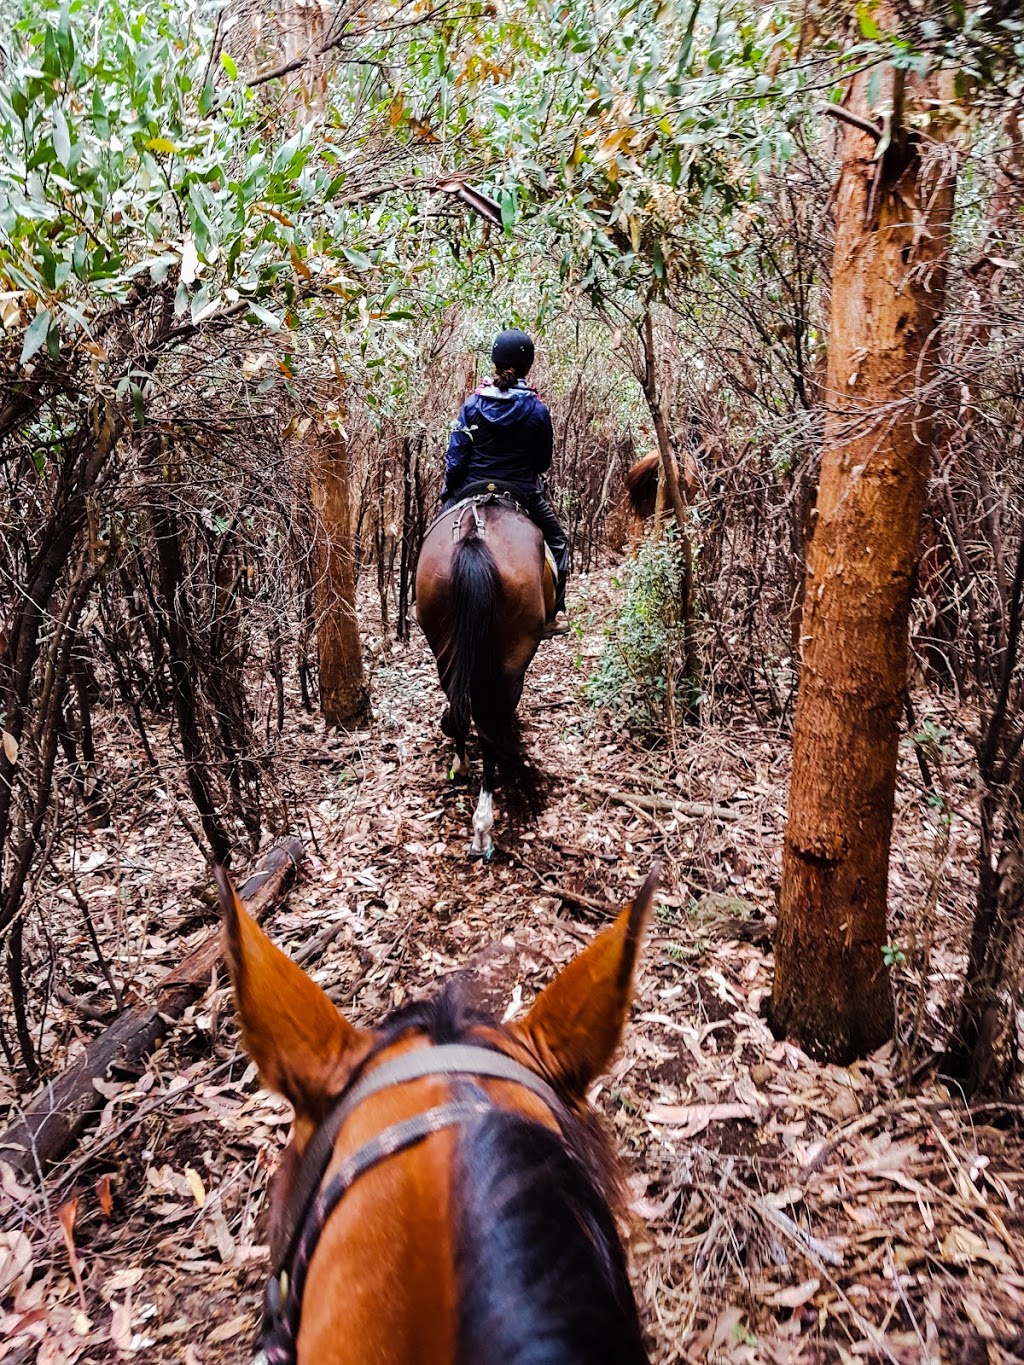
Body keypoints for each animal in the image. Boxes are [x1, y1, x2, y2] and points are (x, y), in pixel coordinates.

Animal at [415, 496, 554, 857]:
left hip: (445, 646)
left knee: (462, 708)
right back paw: (483, 826)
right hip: (514, 657)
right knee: (491, 724)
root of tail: (474, 536)